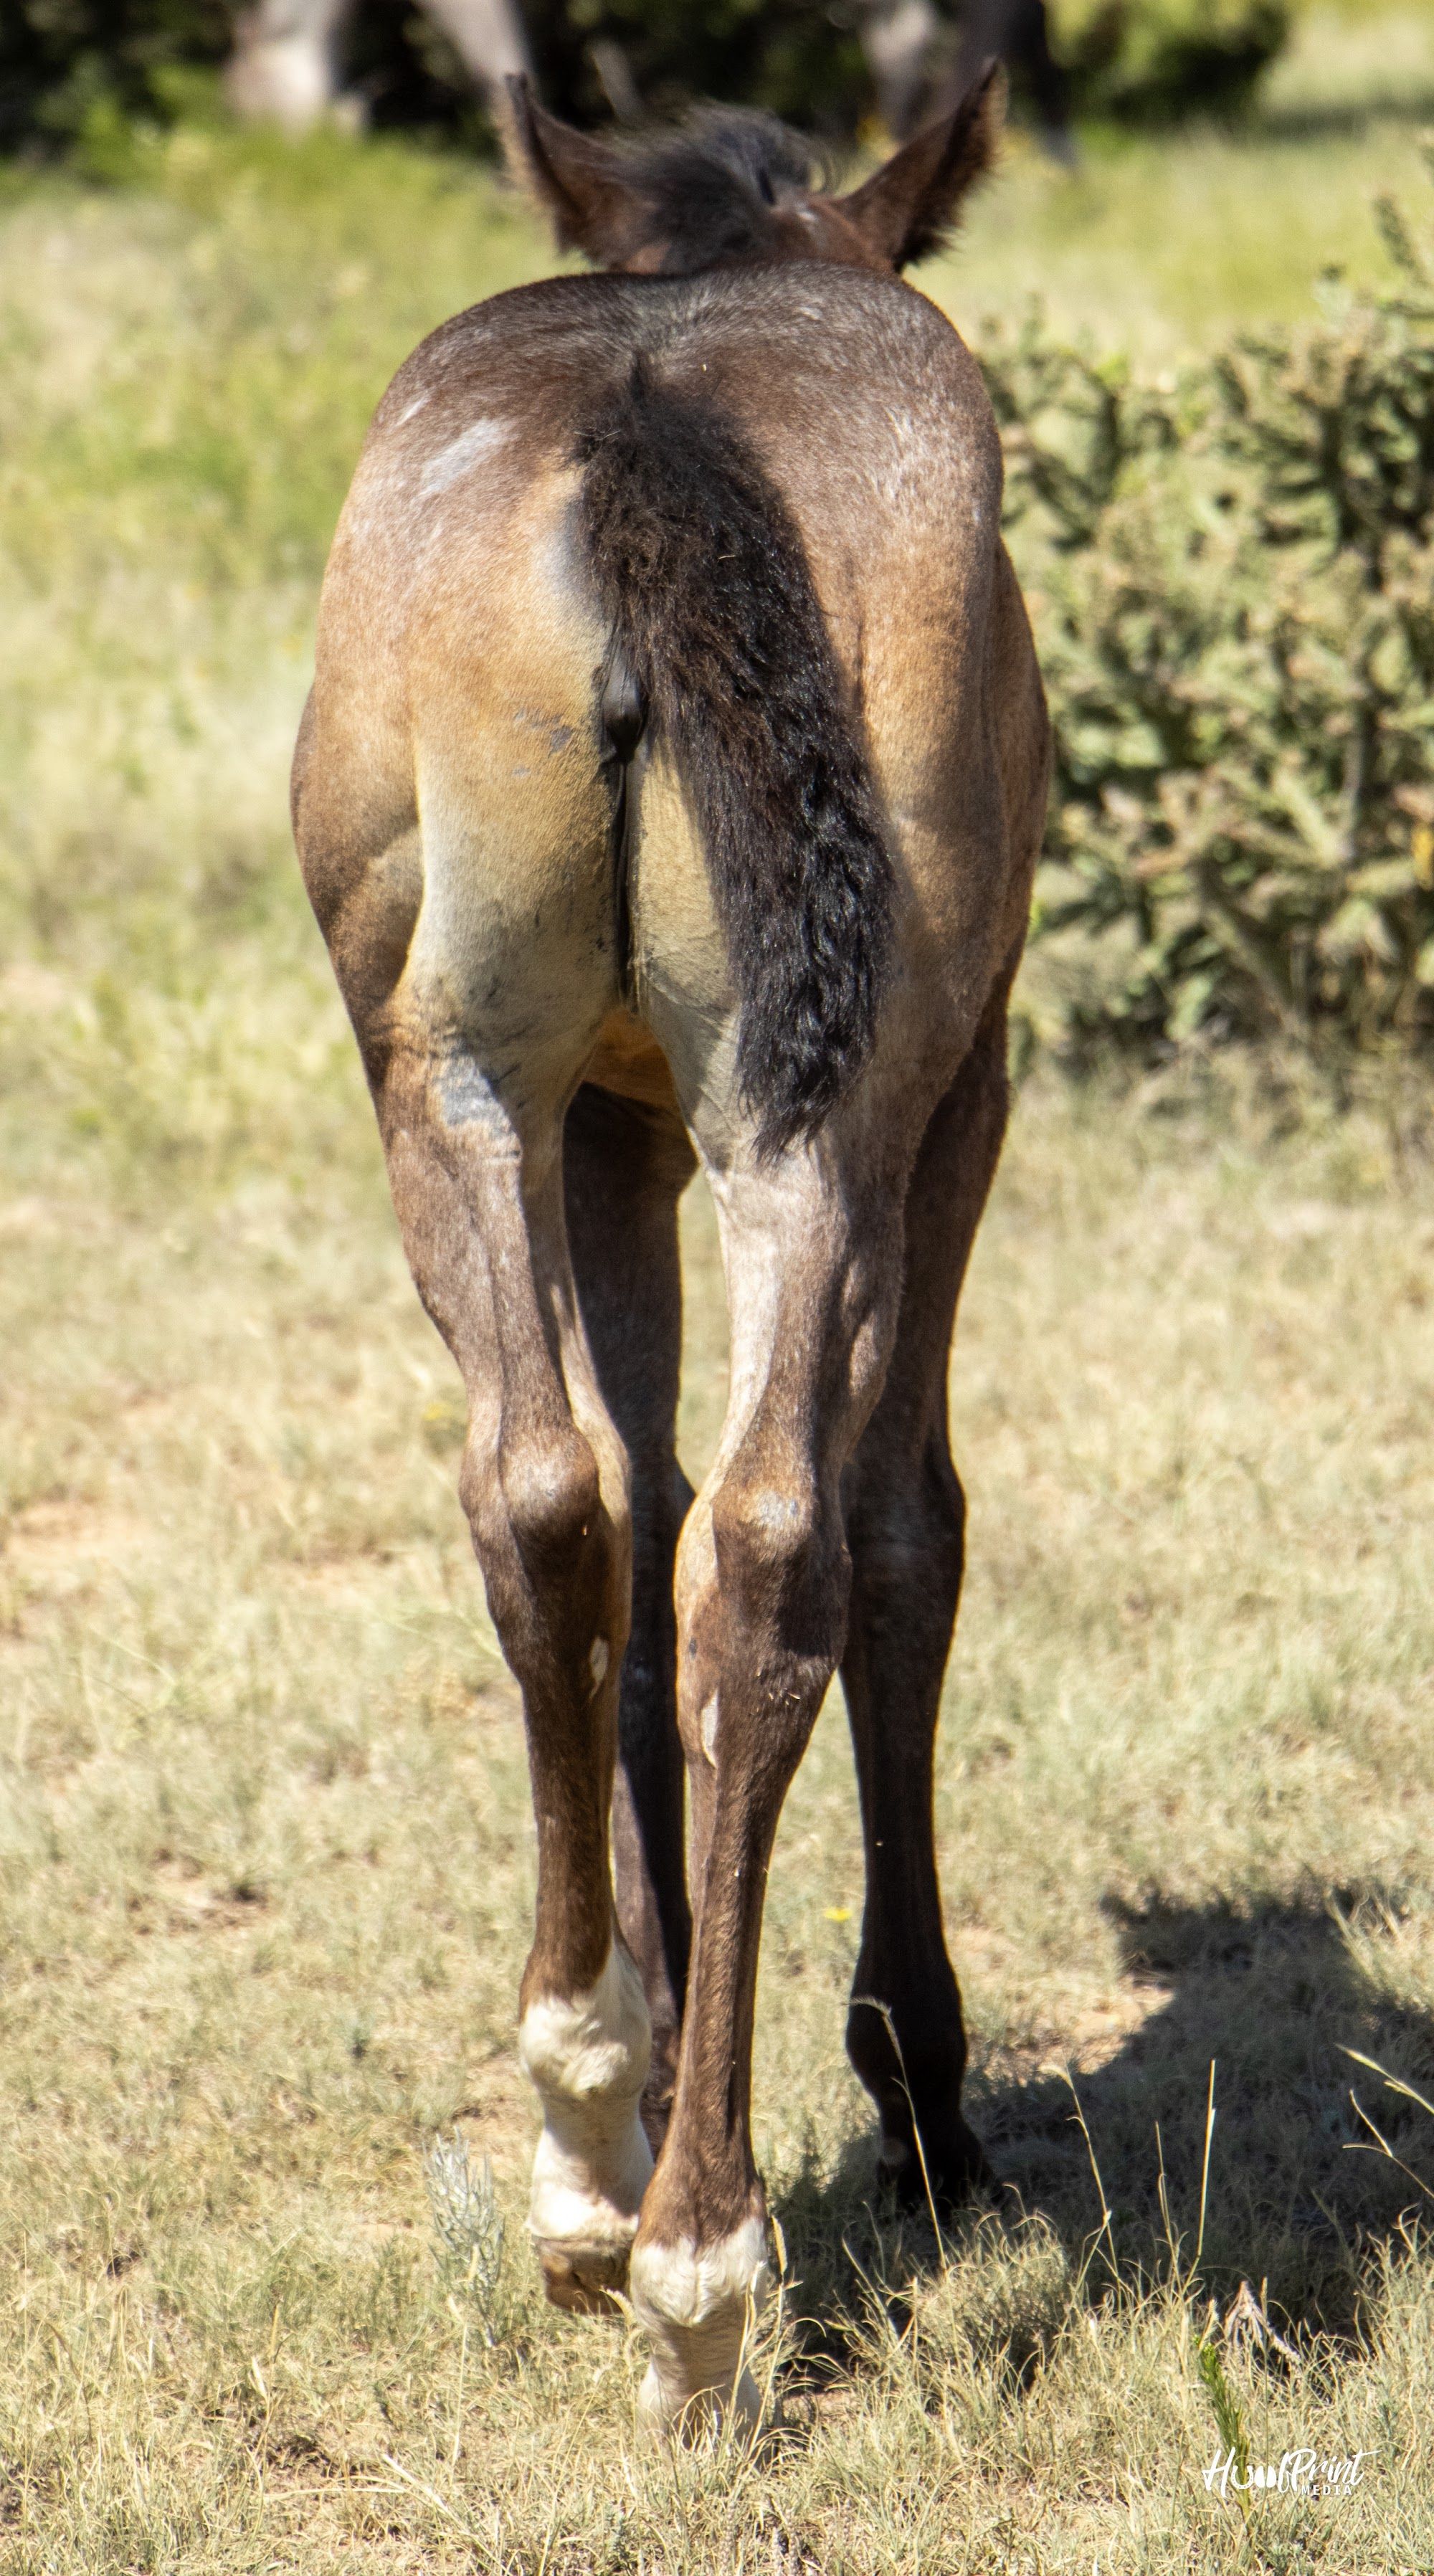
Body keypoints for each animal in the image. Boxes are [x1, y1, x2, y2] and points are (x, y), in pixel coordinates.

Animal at [292, 64, 1050, 2433]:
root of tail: (651, 420)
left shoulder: (618, 1123)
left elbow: (631, 1507)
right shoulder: (963, 1088)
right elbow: (903, 1532)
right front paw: (917, 2093)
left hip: (461, 1082)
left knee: (564, 1509)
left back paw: (602, 2141)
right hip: (839, 1109)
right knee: (796, 1533)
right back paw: (700, 2243)